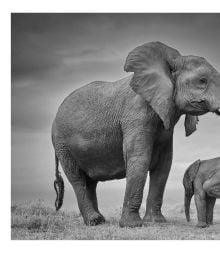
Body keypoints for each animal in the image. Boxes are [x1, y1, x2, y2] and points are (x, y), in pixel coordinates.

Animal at [51, 41, 220, 228]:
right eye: (202, 81)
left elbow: (164, 164)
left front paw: (156, 222)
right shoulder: (136, 114)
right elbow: (140, 158)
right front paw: (132, 225)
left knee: (90, 182)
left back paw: (100, 220)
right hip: (62, 144)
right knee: (77, 178)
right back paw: (94, 221)